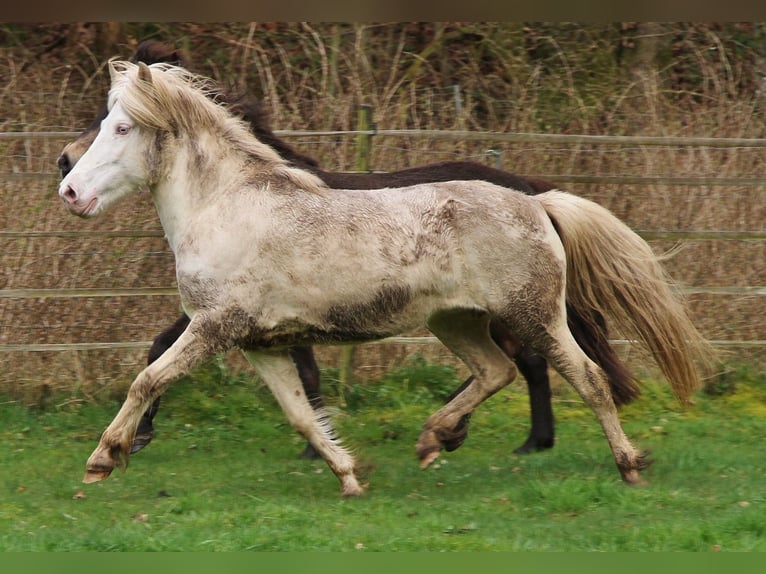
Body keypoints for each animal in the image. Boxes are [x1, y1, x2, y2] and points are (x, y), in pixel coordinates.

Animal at [58, 60, 712, 498]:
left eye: (121, 128)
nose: (68, 188)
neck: (227, 206)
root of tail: (535, 201)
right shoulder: (260, 344)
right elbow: (302, 412)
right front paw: (349, 476)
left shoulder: (215, 328)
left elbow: (147, 378)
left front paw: (104, 457)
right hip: (458, 322)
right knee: (496, 372)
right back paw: (433, 439)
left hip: (534, 316)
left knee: (587, 379)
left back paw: (627, 465)